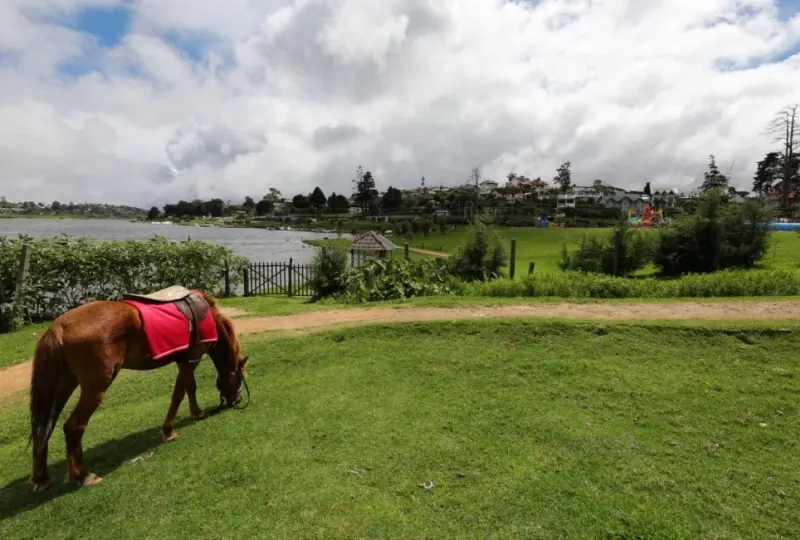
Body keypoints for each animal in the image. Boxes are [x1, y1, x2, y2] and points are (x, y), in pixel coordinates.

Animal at [27, 286, 249, 492]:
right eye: (239, 377)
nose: (237, 399)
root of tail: (59, 327)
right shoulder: (190, 358)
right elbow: (182, 391)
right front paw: (171, 429)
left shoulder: (183, 360)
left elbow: (187, 389)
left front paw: (195, 413)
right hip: (94, 388)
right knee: (73, 427)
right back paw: (83, 475)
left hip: (63, 384)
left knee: (45, 427)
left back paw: (41, 478)